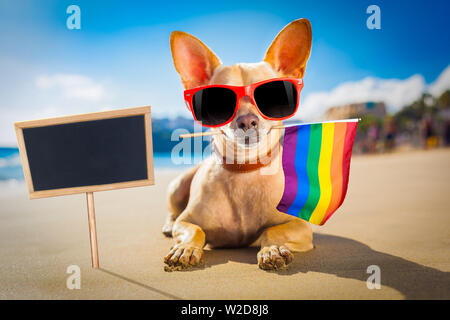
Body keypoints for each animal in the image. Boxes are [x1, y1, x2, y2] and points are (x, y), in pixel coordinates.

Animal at [163, 18, 314, 272]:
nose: (247, 120)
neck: (245, 168)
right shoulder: (187, 221)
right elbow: (195, 229)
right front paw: (185, 248)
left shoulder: (301, 227)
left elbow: (272, 231)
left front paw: (271, 249)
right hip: (177, 186)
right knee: (173, 213)